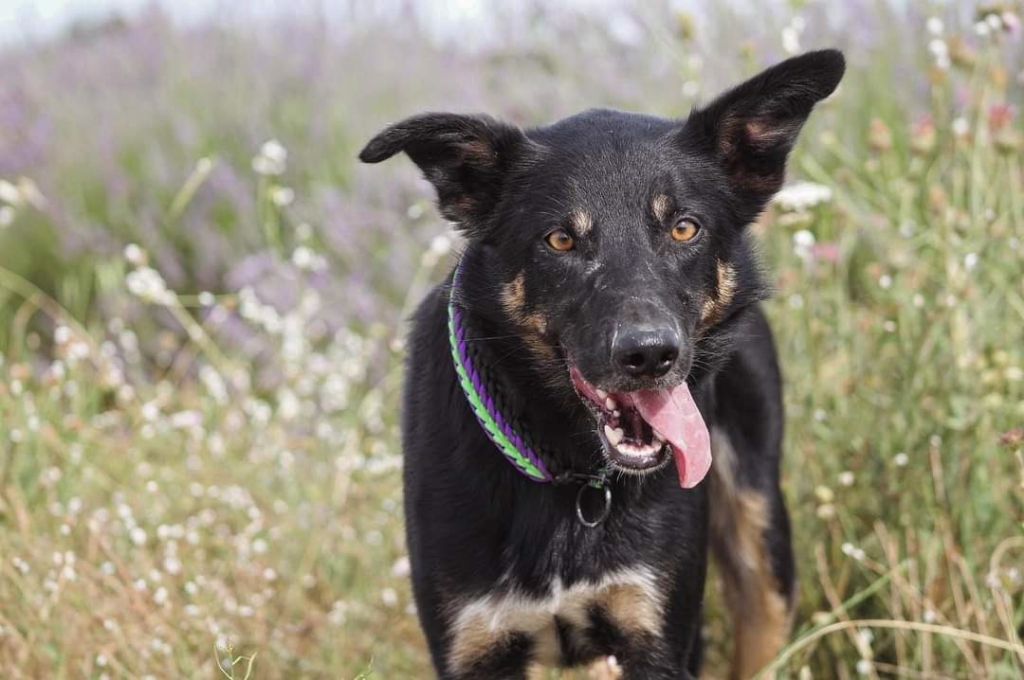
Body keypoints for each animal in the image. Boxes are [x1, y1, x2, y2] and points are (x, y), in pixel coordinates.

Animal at [360, 49, 847, 680]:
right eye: (560, 240)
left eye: (683, 228)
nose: (650, 354)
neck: (569, 473)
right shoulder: (473, 646)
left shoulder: (656, 636)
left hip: (763, 551)